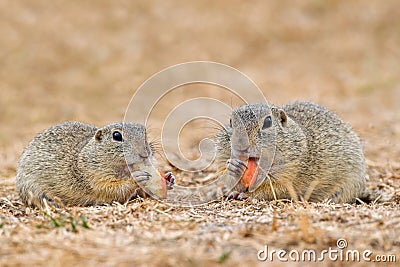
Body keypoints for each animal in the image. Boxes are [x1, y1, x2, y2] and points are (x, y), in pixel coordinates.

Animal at [15, 121, 173, 207]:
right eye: (117, 136)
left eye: (144, 132)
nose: (145, 152)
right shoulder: (94, 177)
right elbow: (111, 189)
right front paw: (136, 179)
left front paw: (169, 178)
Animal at [216, 100, 366, 203]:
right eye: (231, 121)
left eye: (268, 121)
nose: (240, 145)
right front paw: (234, 168)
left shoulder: (289, 174)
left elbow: (272, 189)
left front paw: (247, 195)